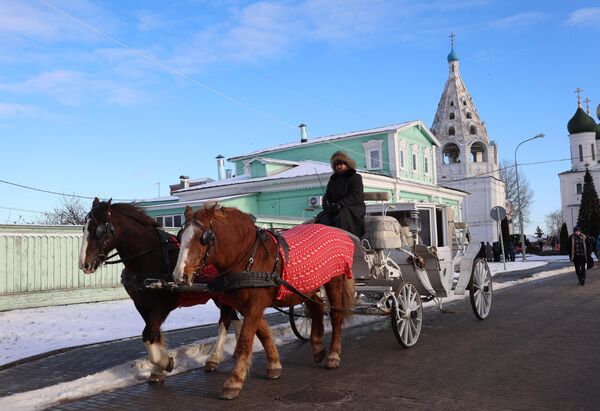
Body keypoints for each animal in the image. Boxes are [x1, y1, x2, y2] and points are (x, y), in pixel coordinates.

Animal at [78, 198, 240, 384]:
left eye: (99, 230)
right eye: (84, 228)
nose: (84, 264)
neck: (149, 257)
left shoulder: (163, 304)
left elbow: (148, 333)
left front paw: (165, 363)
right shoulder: (141, 304)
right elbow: (153, 334)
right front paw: (158, 369)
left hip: (222, 294)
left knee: (225, 319)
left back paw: (214, 358)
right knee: (234, 316)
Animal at [172, 205, 356, 400]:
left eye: (203, 239)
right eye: (180, 236)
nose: (180, 276)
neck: (248, 258)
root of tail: (338, 232)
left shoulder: (254, 304)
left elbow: (246, 338)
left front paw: (234, 381)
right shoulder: (246, 304)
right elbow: (263, 332)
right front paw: (274, 365)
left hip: (334, 281)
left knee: (336, 315)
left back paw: (333, 355)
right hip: (307, 286)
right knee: (316, 306)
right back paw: (318, 347)